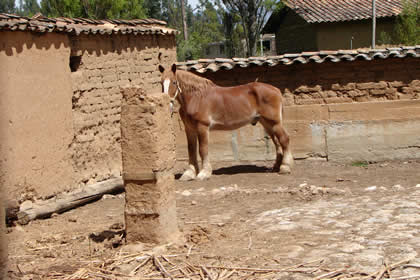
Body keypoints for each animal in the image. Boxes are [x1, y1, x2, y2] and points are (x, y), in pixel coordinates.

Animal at [159, 63, 294, 182]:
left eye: (174, 82)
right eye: (161, 83)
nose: (167, 105)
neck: (196, 98)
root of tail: (276, 89)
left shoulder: (203, 127)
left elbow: (202, 149)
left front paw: (204, 173)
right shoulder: (189, 129)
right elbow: (191, 150)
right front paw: (189, 174)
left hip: (275, 123)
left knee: (284, 139)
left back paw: (285, 167)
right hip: (266, 123)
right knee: (277, 143)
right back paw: (276, 167)